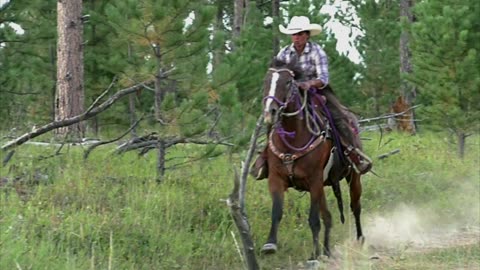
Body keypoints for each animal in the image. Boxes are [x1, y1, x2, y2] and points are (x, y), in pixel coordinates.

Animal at [260, 58, 366, 260]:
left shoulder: (314, 179)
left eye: (288, 82)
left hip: (353, 177)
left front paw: (314, 256)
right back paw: (327, 250)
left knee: (355, 206)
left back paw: (359, 239)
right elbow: (277, 212)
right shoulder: (276, 179)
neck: (294, 138)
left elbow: (313, 219)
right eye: (266, 81)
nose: (271, 111)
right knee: (329, 217)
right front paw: (269, 245)